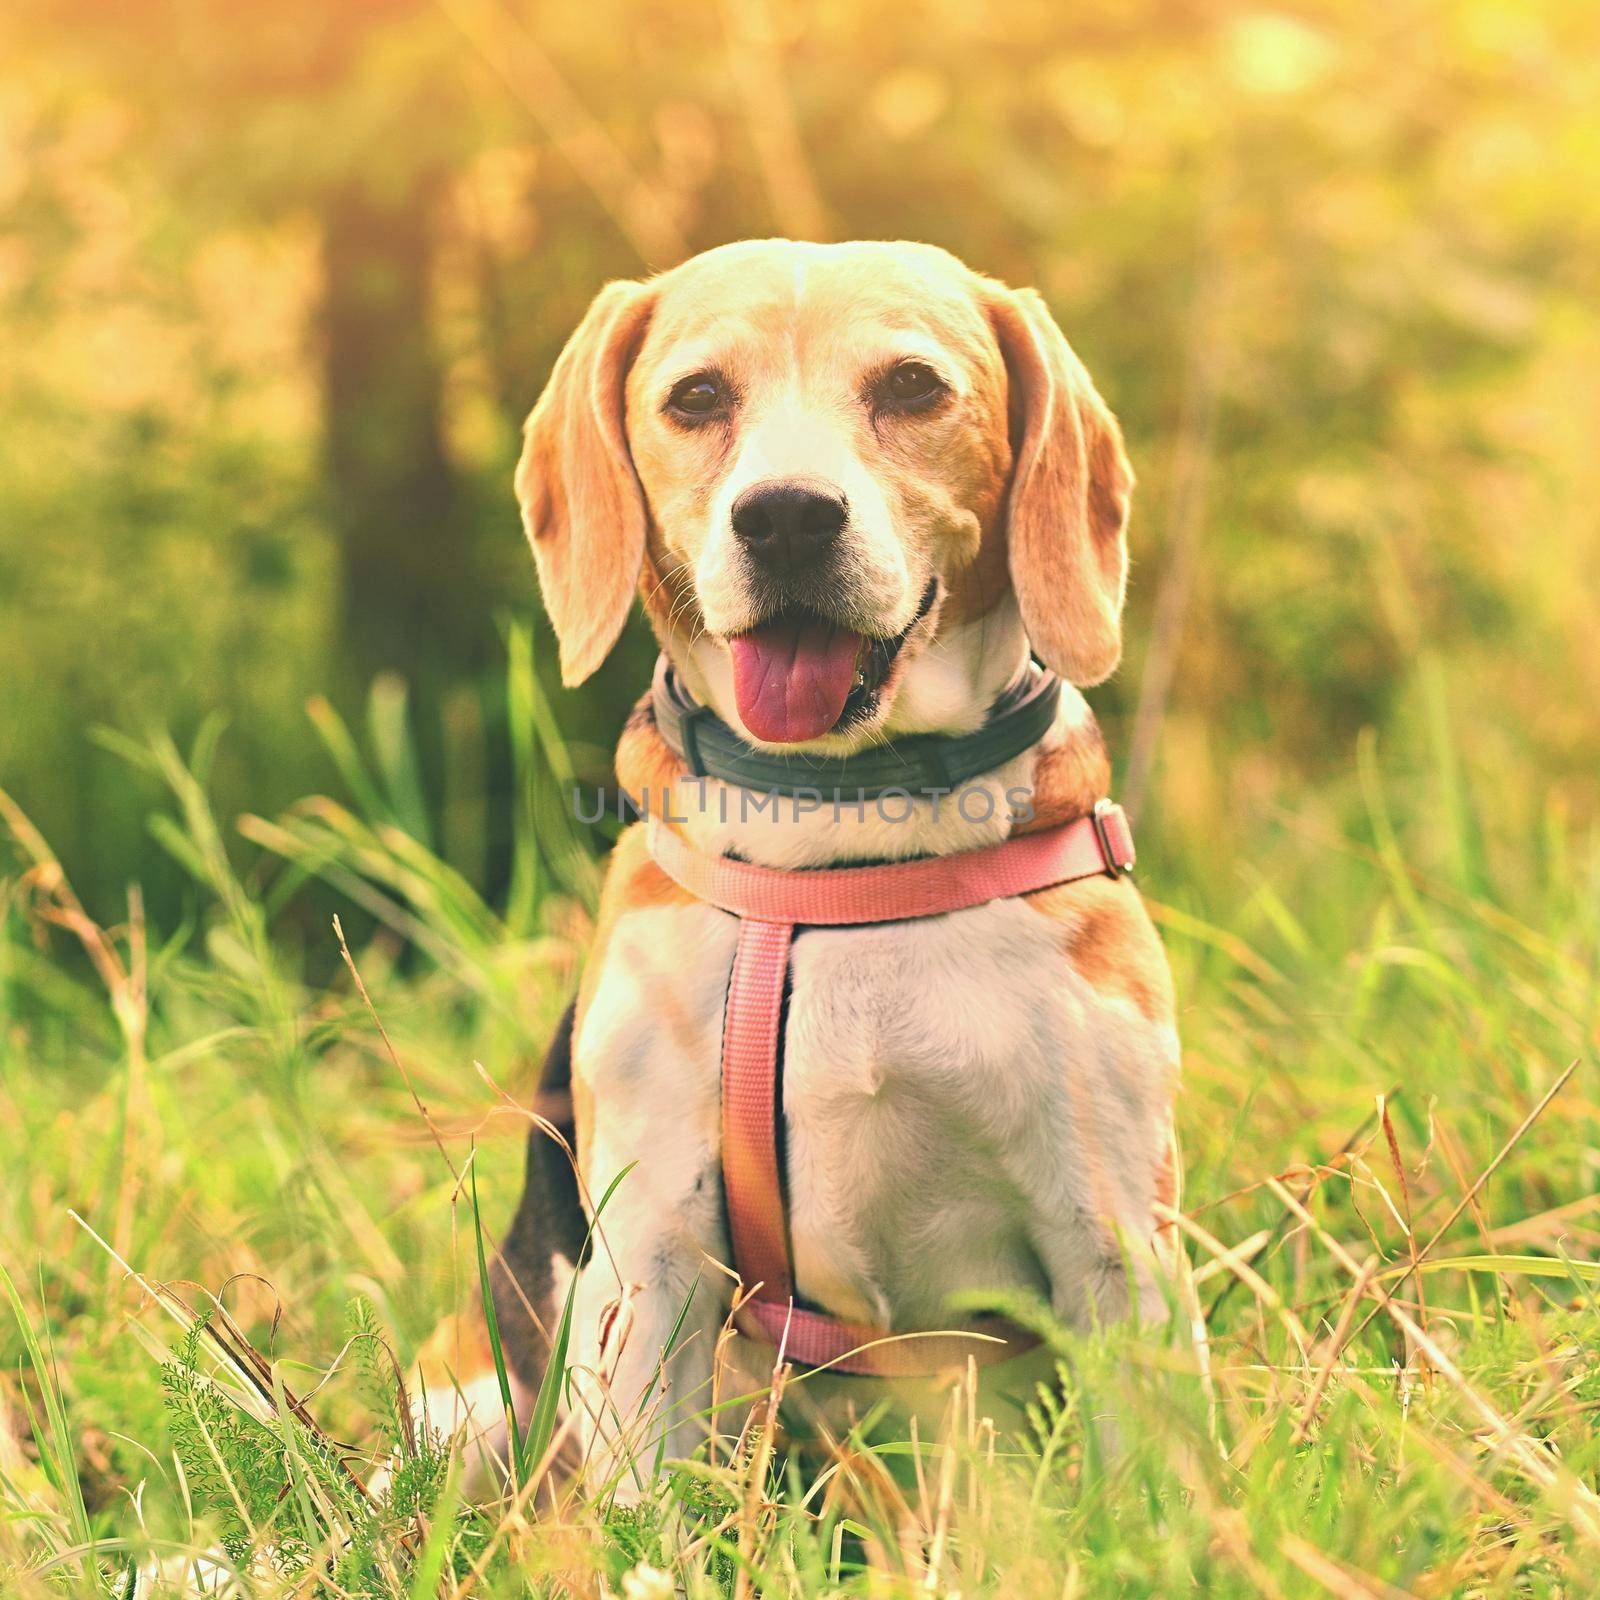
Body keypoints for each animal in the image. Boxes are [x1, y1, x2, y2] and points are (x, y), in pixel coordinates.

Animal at [419, 236, 1184, 1484]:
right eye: (696, 399)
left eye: (912, 387)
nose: (783, 517)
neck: (842, 829)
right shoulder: (650, 1257)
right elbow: (643, 1501)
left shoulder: (1116, 1239)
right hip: (464, 1410)